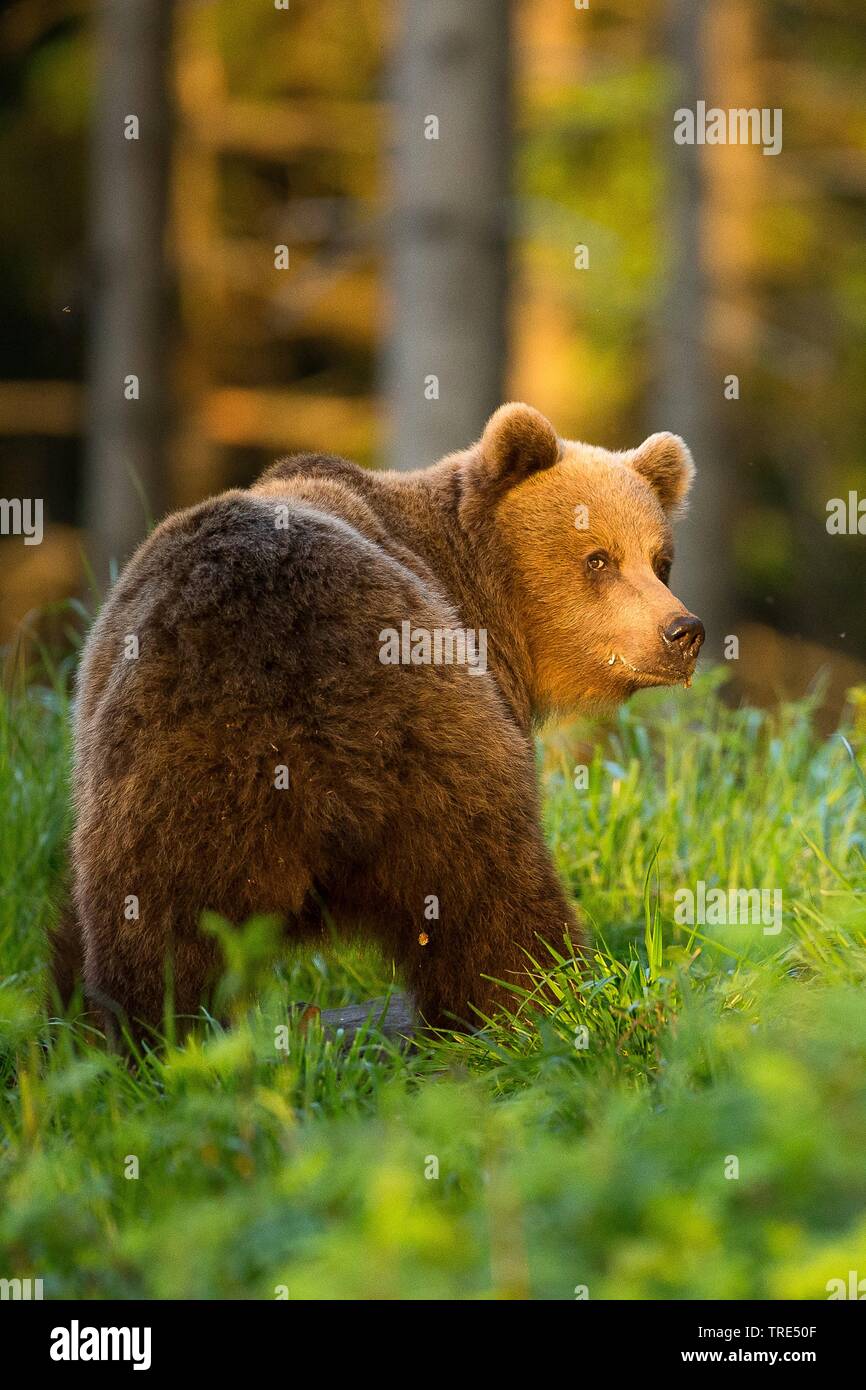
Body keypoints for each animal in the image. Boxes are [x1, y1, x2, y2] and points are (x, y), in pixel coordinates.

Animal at [55, 403, 706, 1045]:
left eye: (661, 561)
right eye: (599, 557)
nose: (683, 631)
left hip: (174, 783)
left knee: (157, 931)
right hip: (435, 740)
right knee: (493, 889)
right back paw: (546, 1001)